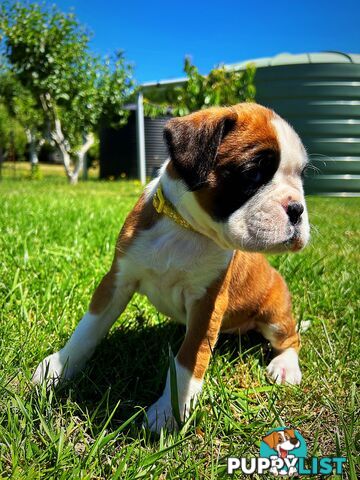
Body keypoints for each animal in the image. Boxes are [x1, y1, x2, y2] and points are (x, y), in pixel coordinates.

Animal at [32, 103, 310, 434]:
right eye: (253, 172)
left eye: (302, 177)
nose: (297, 209)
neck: (186, 229)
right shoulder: (116, 281)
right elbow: (89, 328)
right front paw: (59, 367)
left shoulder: (207, 305)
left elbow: (188, 360)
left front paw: (170, 410)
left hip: (275, 316)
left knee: (291, 339)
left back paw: (286, 366)